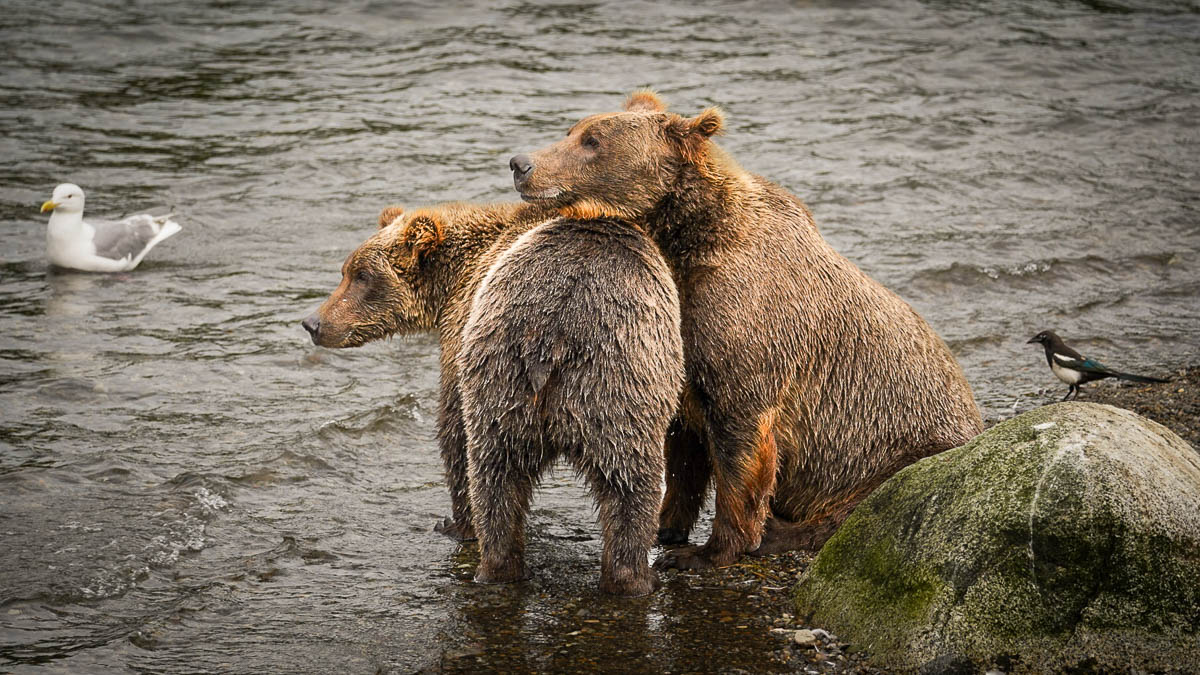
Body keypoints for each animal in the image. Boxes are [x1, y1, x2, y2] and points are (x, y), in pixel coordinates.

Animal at [297, 201, 686, 590]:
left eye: (362, 275)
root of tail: (554, 334)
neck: (456, 280)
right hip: (516, 384)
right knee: (503, 479)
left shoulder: (460, 334)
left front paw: (452, 522)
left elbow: (453, 429)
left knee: (625, 481)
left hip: (606, 379)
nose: (313, 323)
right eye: (346, 271)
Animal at [506, 90, 984, 566]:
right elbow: (683, 446)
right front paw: (667, 527)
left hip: (905, 448)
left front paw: (711, 548)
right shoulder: (685, 333)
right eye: (573, 130)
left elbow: (741, 442)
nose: (520, 162)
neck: (684, 242)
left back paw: (783, 532)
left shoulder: (748, 323)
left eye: (593, 141)